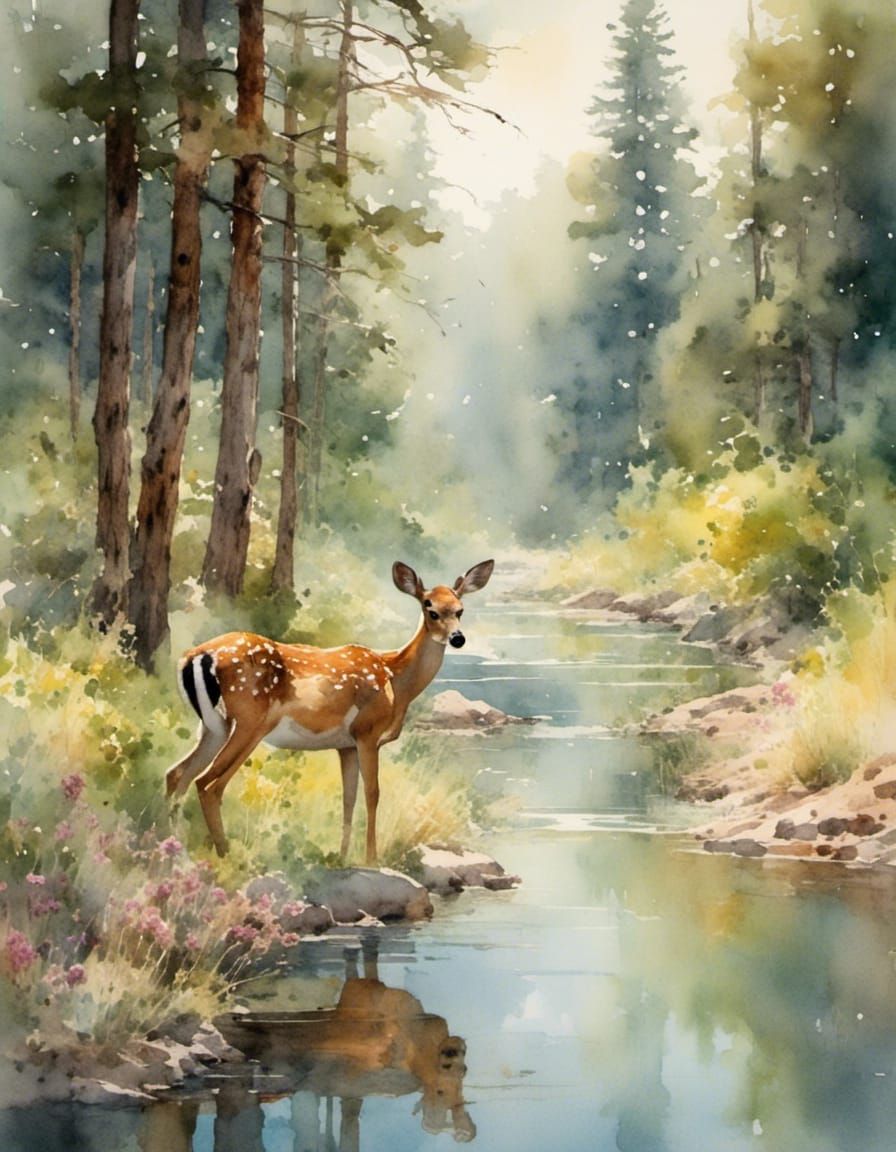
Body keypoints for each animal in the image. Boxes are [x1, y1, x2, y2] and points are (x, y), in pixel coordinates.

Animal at [166, 559, 494, 863]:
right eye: (430, 609)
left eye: (460, 609)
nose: (458, 638)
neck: (395, 679)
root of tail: (193, 657)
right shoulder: (367, 732)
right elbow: (373, 794)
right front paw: (371, 859)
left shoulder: (345, 745)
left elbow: (348, 798)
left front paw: (342, 856)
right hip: (249, 722)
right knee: (208, 784)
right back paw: (225, 854)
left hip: (213, 726)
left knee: (175, 773)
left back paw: (173, 847)